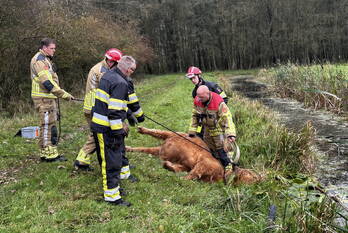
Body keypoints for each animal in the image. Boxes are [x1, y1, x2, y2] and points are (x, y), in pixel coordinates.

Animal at [125, 126, 260, 183]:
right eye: (250, 173)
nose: (260, 178)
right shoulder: (204, 163)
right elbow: (191, 175)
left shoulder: (185, 165)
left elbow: (181, 170)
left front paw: (168, 166)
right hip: (172, 134)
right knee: (159, 131)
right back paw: (141, 129)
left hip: (158, 149)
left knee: (144, 148)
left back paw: (128, 147)